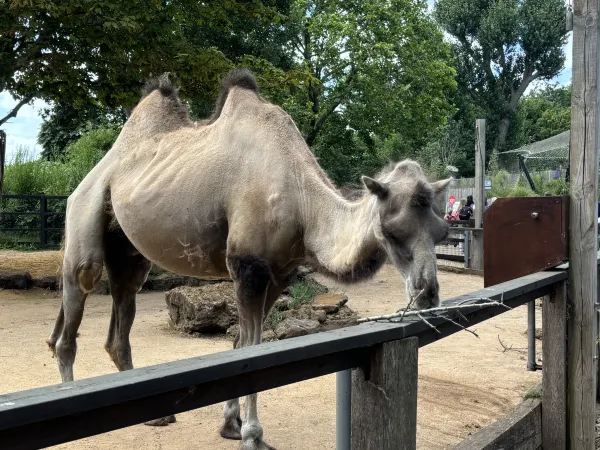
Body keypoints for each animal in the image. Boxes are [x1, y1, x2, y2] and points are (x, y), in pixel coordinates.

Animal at [47, 69, 450, 450]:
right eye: (393, 232)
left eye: (442, 232)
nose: (428, 293)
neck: (301, 199)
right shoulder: (247, 266)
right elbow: (253, 350)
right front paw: (252, 435)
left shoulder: (279, 273)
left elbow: (240, 345)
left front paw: (231, 424)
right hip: (85, 211)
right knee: (79, 287)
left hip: (128, 250)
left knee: (123, 304)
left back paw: (156, 416)